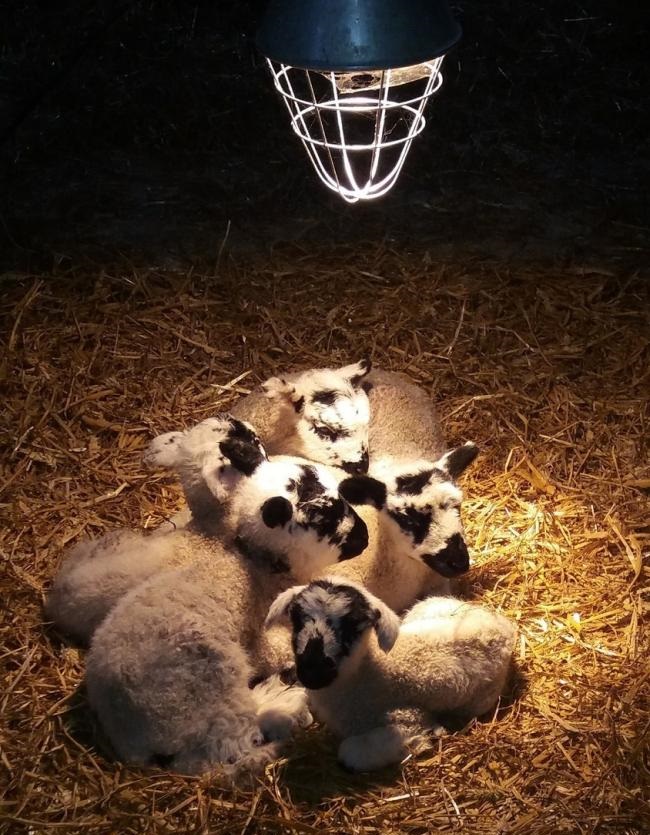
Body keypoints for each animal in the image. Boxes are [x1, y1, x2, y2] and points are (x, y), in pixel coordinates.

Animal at [265, 577, 517, 772]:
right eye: (297, 619)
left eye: (353, 626)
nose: (312, 672)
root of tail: (502, 625)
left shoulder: (408, 721)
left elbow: (350, 753)